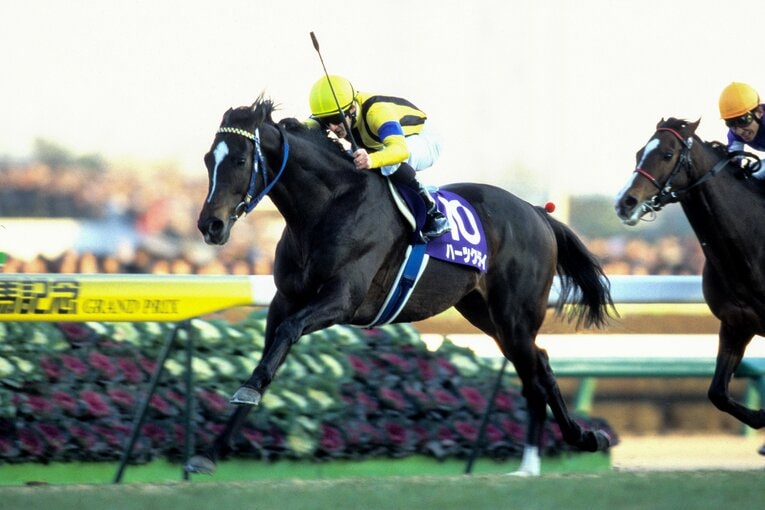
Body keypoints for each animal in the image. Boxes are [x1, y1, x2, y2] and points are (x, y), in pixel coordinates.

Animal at [190, 96, 615, 476]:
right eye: (209, 159)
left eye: (240, 160)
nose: (210, 225)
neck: (328, 206)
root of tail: (537, 213)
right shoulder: (285, 299)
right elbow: (268, 359)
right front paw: (209, 452)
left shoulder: (342, 299)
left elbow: (287, 336)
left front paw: (241, 399)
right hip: (485, 313)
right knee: (537, 366)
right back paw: (566, 445)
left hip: (515, 315)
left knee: (536, 372)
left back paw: (559, 449)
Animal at [615, 117, 765, 451]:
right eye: (638, 153)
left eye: (668, 154)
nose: (624, 203)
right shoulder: (736, 324)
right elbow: (717, 393)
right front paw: (761, 416)